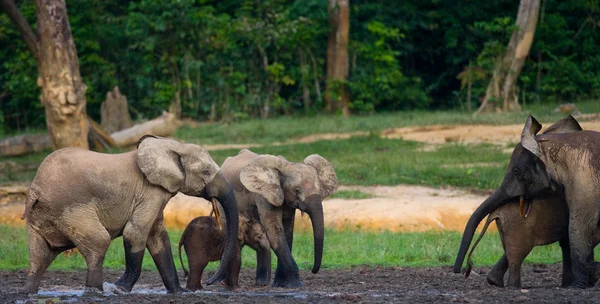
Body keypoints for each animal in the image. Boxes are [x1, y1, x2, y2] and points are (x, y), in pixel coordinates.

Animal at [23, 135, 239, 294]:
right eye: (206, 171)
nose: (210, 283)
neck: (173, 146)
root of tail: (35, 189)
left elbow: (158, 238)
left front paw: (179, 293)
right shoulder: (150, 193)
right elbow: (135, 234)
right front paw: (119, 289)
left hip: (43, 215)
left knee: (41, 254)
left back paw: (28, 293)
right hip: (70, 209)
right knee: (98, 242)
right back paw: (96, 292)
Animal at [219, 149, 338, 288]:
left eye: (319, 189)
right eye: (297, 190)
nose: (313, 270)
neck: (286, 167)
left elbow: (287, 232)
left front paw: (281, 284)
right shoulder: (264, 195)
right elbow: (274, 231)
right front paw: (297, 285)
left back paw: (261, 283)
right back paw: (223, 282)